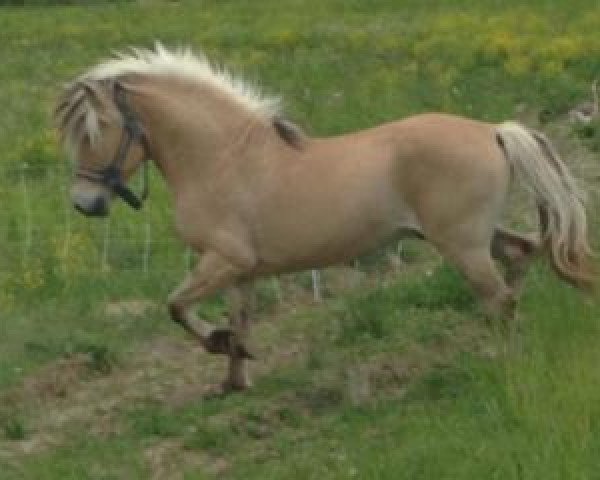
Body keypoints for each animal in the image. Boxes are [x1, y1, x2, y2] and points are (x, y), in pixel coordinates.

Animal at [54, 44, 592, 390]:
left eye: (96, 128)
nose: (85, 203)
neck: (223, 158)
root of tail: (493, 131)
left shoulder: (221, 260)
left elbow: (178, 307)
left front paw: (222, 347)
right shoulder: (240, 270)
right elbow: (238, 318)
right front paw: (235, 378)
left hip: (460, 244)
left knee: (499, 296)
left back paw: (503, 361)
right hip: (470, 237)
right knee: (521, 256)